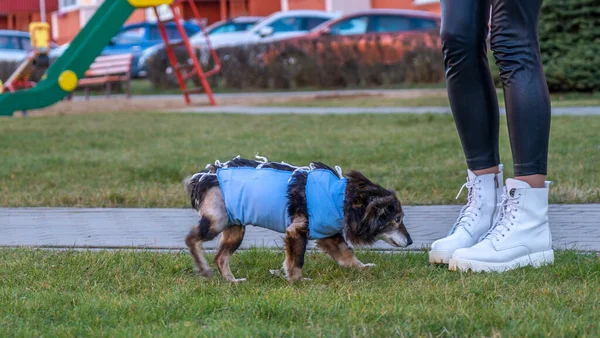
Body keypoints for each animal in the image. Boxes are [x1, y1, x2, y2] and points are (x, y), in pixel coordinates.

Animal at [184, 156, 412, 282]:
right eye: (397, 219)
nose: (410, 241)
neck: (341, 197)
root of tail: (203, 177)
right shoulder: (298, 230)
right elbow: (297, 259)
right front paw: (297, 280)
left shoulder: (328, 234)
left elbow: (347, 254)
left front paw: (363, 267)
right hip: (217, 220)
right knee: (191, 239)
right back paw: (203, 268)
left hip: (235, 229)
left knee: (220, 258)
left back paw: (232, 281)